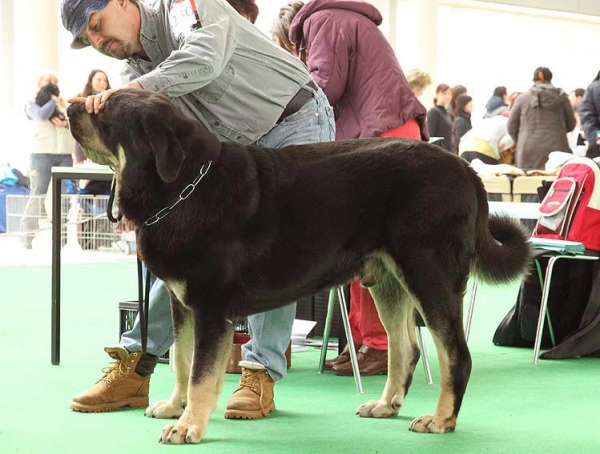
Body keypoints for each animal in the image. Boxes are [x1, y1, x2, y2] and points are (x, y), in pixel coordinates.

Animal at [65, 90, 528, 446]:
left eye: (103, 112)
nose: (70, 107)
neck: (182, 189)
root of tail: (465, 168)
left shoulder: (212, 307)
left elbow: (200, 373)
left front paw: (188, 425)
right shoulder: (184, 303)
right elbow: (181, 359)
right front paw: (174, 407)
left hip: (429, 275)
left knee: (455, 355)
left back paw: (441, 419)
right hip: (389, 283)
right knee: (405, 350)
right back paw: (385, 404)